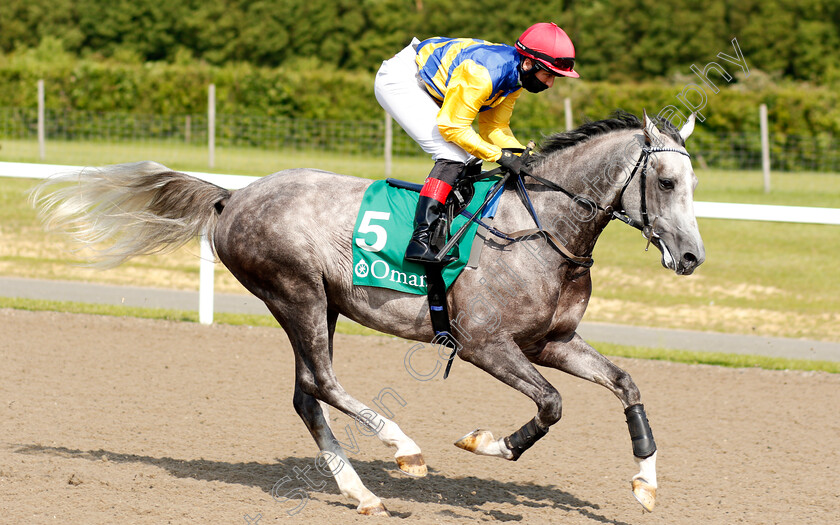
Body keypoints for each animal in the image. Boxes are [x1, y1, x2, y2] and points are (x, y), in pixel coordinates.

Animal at [32, 111, 704, 516]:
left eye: (692, 183)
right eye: (668, 182)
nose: (693, 256)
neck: (540, 229)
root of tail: (233, 196)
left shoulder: (551, 342)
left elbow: (626, 383)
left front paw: (646, 483)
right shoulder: (485, 344)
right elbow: (551, 404)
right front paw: (486, 443)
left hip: (321, 304)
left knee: (306, 395)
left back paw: (361, 493)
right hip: (296, 292)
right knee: (324, 383)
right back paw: (403, 449)